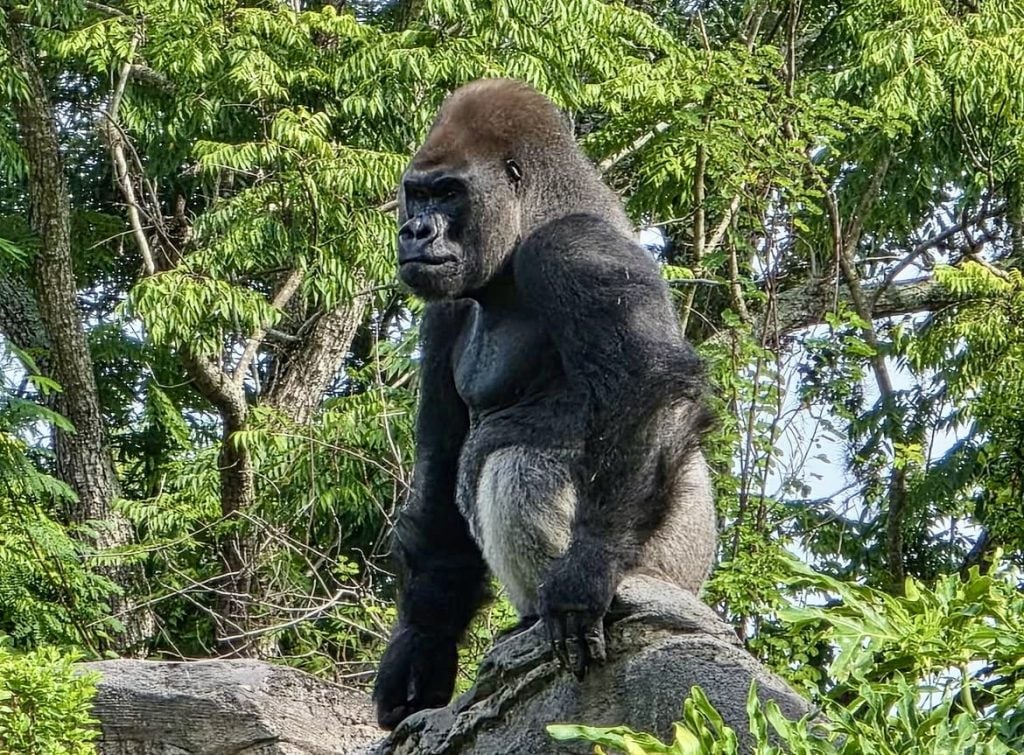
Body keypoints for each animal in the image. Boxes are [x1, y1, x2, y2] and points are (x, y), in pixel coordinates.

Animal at [373, 79, 717, 731]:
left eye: (449, 193)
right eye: (417, 194)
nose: (416, 232)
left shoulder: (573, 250)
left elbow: (647, 384)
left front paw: (586, 574)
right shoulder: (444, 309)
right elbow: (440, 467)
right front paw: (421, 645)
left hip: (673, 568)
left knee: (518, 463)